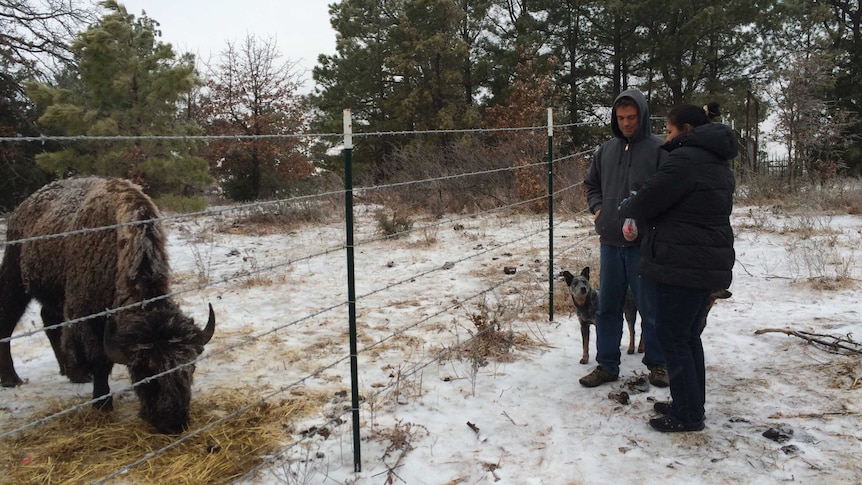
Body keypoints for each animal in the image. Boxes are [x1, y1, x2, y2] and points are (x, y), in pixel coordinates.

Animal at [0, 176, 216, 432]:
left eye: (191, 367)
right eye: (144, 371)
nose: (173, 423)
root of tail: (22, 208)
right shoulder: (89, 316)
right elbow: (101, 361)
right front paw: (102, 404)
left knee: (49, 321)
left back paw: (74, 373)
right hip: (15, 281)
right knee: (7, 323)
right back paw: (12, 379)